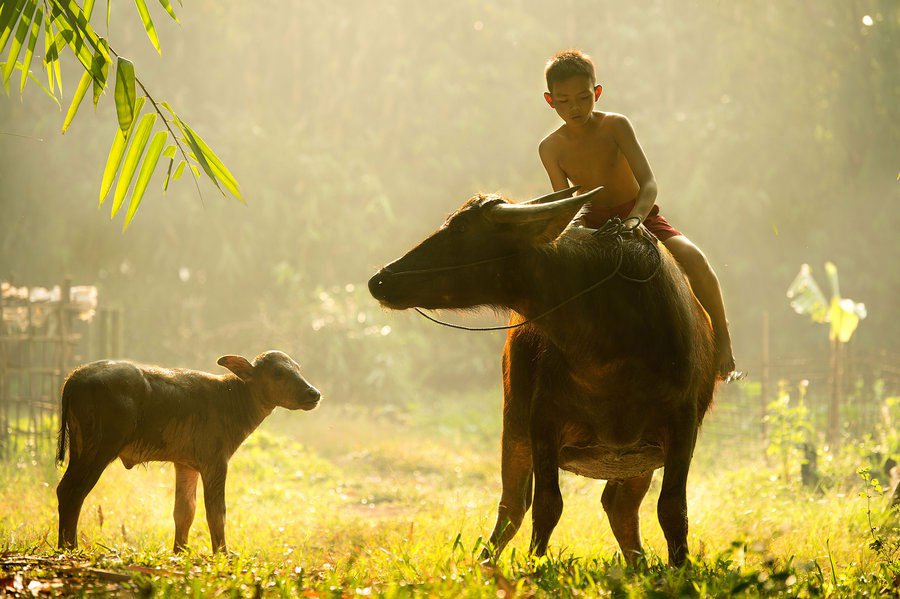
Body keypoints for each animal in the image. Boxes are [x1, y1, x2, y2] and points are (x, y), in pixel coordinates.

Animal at [52, 352, 320, 552]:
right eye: (278, 373)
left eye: (297, 368)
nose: (313, 393)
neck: (230, 399)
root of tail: (75, 377)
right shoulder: (215, 462)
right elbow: (216, 512)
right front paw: (222, 554)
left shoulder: (185, 464)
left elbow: (184, 511)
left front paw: (179, 552)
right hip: (99, 447)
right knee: (72, 491)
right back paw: (69, 548)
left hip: (80, 447)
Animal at [368, 188, 716, 568]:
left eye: (460, 229)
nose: (380, 279)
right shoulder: (542, 422)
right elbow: (547, 505)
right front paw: (534, 566)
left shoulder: (681, 424)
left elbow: (672, 508)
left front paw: (680, 567)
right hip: (515, 427)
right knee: (513, 504)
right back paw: (487, 563)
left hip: (636, 461)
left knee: (620, 507)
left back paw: (638, 566)